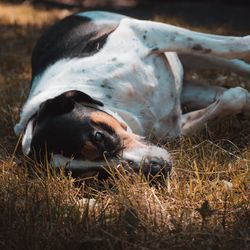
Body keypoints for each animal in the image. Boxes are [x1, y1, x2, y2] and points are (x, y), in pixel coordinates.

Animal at [14, 10, 250, 178]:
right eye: (97, 174)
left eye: (98, 136)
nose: (155, 169)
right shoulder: (174, 128)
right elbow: (233, 98)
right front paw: (243, 104)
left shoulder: (146, 33)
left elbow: (235, 45)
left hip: (188, 50)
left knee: (229, 57)